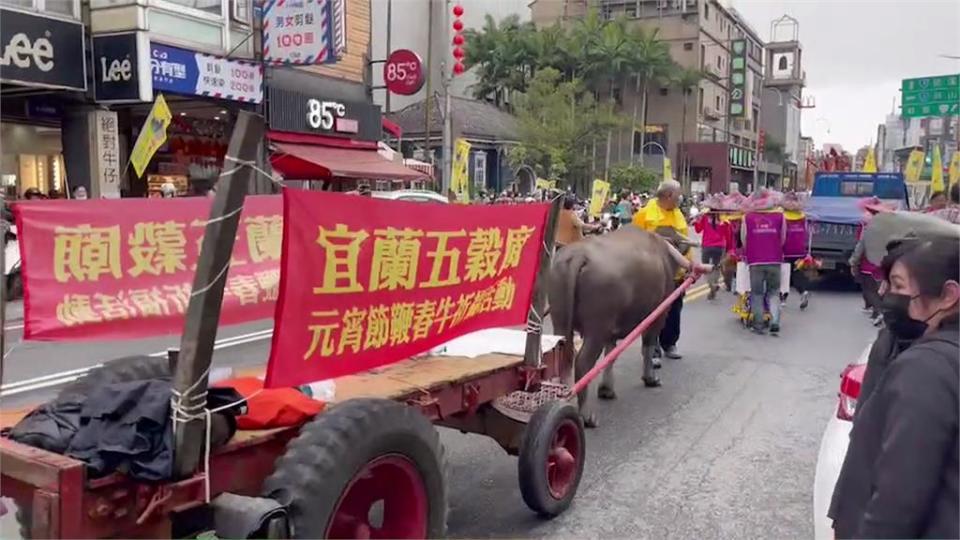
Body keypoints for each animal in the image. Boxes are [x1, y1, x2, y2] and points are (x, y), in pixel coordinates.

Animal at [548, 226, 688, 428]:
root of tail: (578, 255)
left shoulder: (610, 332)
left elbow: (611, 356)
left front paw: (606, 389)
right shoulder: (658, 316)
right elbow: (647, 347)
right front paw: (650, 378)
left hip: (560, 322)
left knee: (561, 358)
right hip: (596, 330)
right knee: (583, 363)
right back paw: (586, 415)